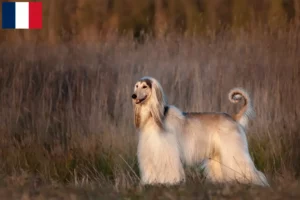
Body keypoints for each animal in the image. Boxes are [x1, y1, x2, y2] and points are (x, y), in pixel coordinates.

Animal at [131, 76, 270, 186]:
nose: (133, 96)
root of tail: (233, 118)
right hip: (218, 153)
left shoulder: (166, 151)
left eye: (144, 86)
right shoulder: (149, 151)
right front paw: (151, 182)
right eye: (136, 86)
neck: (153, 117)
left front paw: (169, 181)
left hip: (233, 150)